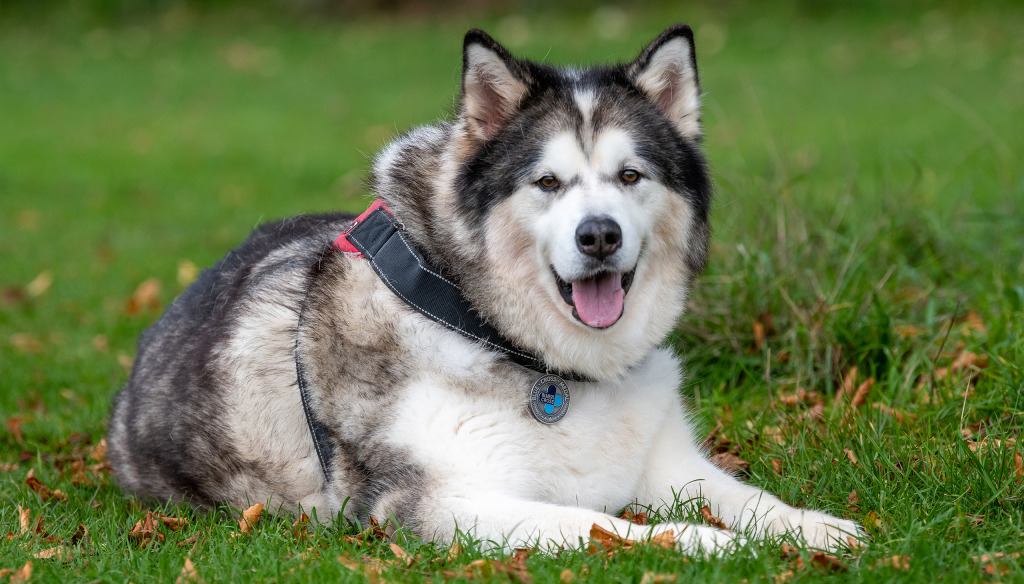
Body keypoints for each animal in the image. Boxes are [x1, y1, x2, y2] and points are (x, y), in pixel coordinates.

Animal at [108, 23, 860, 549]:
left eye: (630, 176)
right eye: (548, 182)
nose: (599, 236)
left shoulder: (668, 465)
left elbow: (751, 500)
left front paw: (817, 528)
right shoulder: (442, 502)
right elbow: (616, 529)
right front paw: (715, 544)